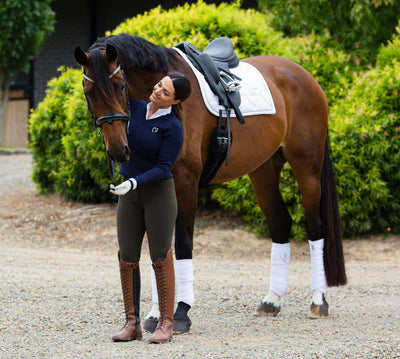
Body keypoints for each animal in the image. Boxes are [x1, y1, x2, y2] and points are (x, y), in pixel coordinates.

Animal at [73, 34, 346, 334]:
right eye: (89, 93)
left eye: (120, 86)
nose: (118, 151)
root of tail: (305, 76)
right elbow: (158, 247)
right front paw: (156, 315)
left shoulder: (186, 182)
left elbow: (182, 244)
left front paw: (181, 313)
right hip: (263, 170)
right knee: (280, 224)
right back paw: (272, 300)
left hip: (307, 168)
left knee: (314, 227)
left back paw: (318, 300)